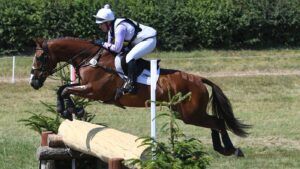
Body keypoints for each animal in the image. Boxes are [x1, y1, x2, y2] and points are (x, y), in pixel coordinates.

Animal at [31, 37, 251, 156]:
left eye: (40, 57)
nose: (33, 82)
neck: (91, 58)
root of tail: (198, 79)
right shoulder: (84, 87)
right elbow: (63, 88)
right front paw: (71, 109)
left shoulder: (94, 90)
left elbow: (65, 90)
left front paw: (69, 109)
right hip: (184, 113)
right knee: (215, 122)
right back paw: (222, 149)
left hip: (191, 114)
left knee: (218, 122)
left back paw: (231, 149)